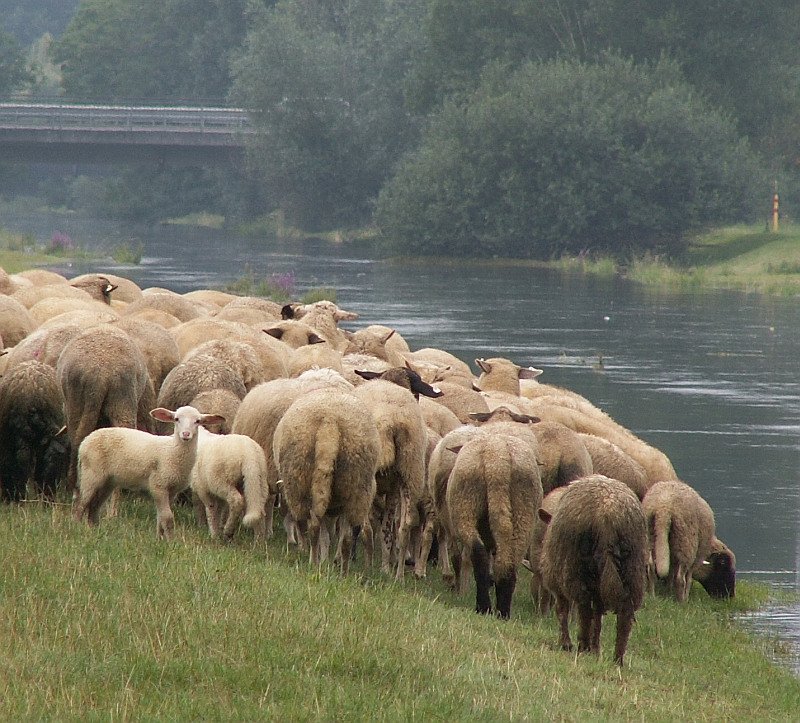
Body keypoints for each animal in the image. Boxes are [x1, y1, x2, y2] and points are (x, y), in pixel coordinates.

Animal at [73, 404, 223, 540]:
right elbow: (167, 517)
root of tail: (85, 441)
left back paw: (93, 529)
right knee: (81, 503)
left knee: (94, 505)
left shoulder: (171, 490)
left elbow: (160, 517)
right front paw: (171, 541)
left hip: (108, 481)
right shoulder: (158, 485)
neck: (172, 451)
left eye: (197, 421)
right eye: (176, 419)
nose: (186, 434)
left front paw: (160, 538)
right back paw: (77, 527)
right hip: (91, 473)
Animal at [274, 388, 380, 576]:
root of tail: (329, 421)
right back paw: (344, 573)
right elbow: (329, 536)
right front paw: (328, 561)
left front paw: (322, 560)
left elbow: (323, 534)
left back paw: (313, 562)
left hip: (300, 481)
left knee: (312, 526)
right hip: (354, 487)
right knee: (346, 537)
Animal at [536, 476, 648, 668]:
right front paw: (596, 649)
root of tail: (609, 515)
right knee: (625, 614)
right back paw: (617, 658)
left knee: (584, 608)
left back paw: (582, 646)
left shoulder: (556, 582)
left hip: (575, 568)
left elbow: (562, 610)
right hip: (632, 569)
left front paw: (566, 643)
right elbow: (598, 619)